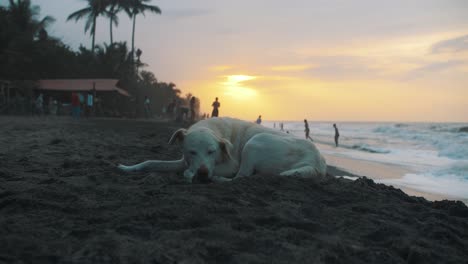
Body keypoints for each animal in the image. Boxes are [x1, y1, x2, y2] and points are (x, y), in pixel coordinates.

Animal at [119, 117, 328, 184]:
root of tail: (317, 160)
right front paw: (127, 168)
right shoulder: (183, 161)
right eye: (192, 152)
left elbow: (189, 172)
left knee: (241, 177)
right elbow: (150, 162)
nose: (203, 174)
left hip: (254, 142)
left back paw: (218, 179)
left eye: (212, 151)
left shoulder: (231, 165)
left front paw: (193, 175)